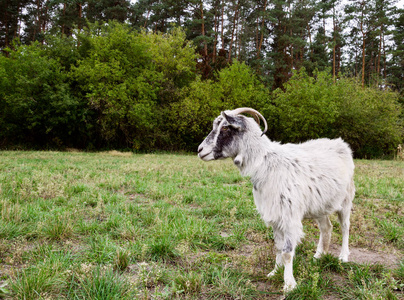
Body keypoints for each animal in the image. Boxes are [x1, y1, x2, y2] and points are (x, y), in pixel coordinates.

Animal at [197, 107, 356, 290]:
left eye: (225, 127)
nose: (200, 150)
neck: (266, 163)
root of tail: (340, 143)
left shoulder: (290, 217)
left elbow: (287, 252)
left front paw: (289, 285)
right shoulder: (275, 215)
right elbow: (278, 247)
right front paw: (274, 272)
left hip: (346, 199)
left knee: (345, 227)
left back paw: (343, 257)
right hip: (320, 205)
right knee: (327, 228)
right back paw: (318, 256)